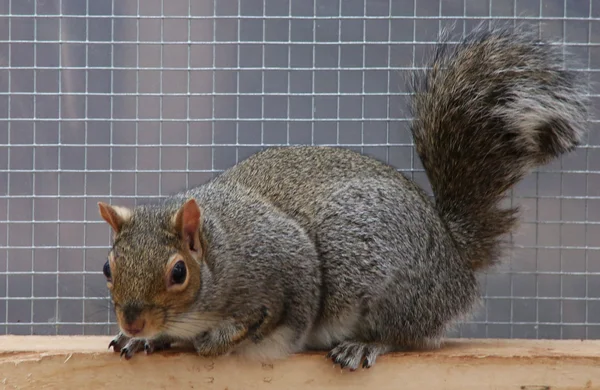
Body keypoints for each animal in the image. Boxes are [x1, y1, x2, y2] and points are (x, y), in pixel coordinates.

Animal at [97, 22, 584, 370]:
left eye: (179, 273)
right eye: (108, 267)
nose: (132, 319)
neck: (220, 253)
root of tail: (453, 257)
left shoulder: (285, 269)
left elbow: (267, 316)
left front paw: (214, 340)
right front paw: (140, 340)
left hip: (384, 275)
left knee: (407, 334)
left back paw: (365, 346)